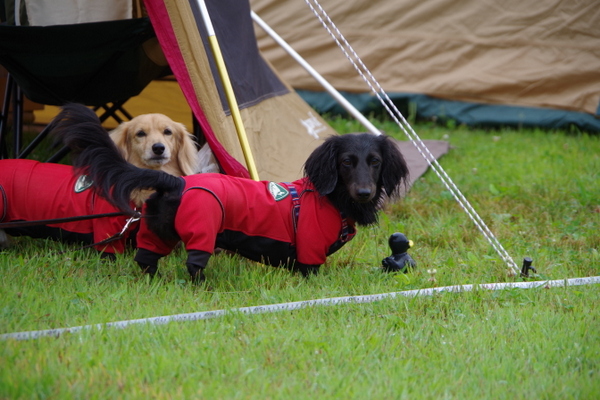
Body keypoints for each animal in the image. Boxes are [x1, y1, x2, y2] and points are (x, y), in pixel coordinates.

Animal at [52, 103, 408, 282]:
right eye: (346, 162)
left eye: (375, 162)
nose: (364, 192)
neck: (331, 200)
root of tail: (177, 182)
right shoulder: (309, 249)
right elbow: (311, 273)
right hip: (202, 230)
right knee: (194, 265)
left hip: (158, 232)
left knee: (145, 259)